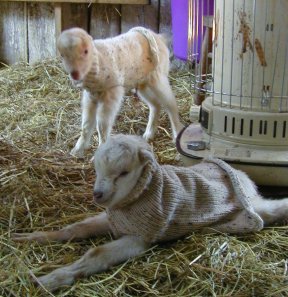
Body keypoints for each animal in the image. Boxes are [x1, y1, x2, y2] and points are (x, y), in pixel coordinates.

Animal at [11, 135, 288, 292]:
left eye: (123, 172)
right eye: (96, 166)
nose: (98, 195)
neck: (136, 198)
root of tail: (243, 176)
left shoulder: (140, 236)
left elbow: (97, 253)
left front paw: (49, 280)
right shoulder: (114, 219)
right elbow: (75, 228)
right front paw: (30, 238)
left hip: (249, 207)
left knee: (271, 208)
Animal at [56, 26, 182, 156]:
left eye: (86, 51)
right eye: (62, 55)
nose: (74, 74)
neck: (98, 60)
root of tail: (158, 36)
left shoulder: (111, 93)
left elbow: (102, 125)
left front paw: (102, 149)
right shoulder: (90, 96)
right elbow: (86, 124)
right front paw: (78, 149)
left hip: (158, 77)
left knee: (171, 104)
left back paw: (176, 133)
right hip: (143, 82)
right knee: (155, 105)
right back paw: (149, 134)